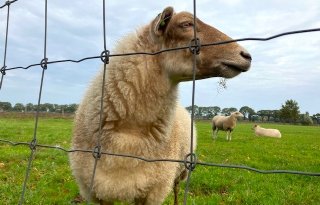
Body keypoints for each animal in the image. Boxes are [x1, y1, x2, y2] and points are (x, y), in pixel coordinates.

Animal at [69, 6, 251, 205]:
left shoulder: (155, 189)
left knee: (177, 189)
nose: (246, 55)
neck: (129, 137)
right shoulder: (94, 190)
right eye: (186, 24)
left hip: (181, 170)